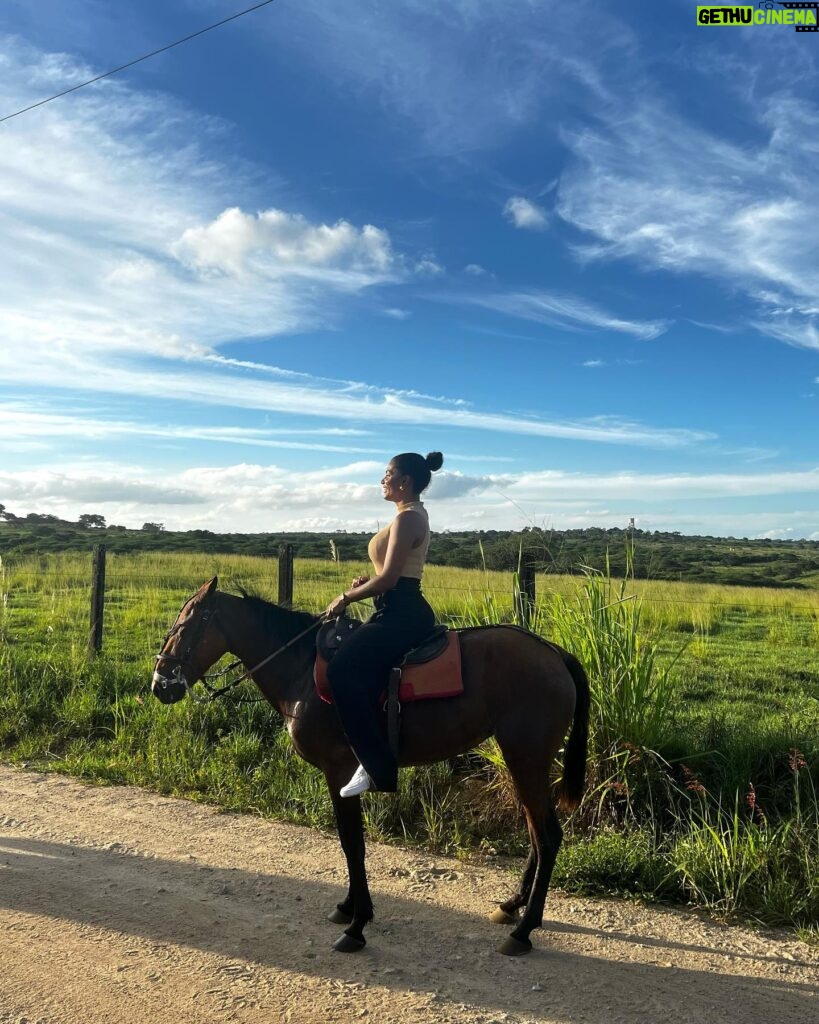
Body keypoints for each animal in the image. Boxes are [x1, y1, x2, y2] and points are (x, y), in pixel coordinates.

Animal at [151, 581, 589, 954]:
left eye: (184, 626)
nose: (159, 684)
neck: (302, 668)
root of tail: (554, 652)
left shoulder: (338, 770)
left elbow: (352, 843)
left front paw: (357, 924)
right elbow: (349, 843)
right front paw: (348, 907)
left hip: (525, 758)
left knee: (548, 836)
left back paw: (524, 929)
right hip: (525, 762)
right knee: (536, 832)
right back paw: (513, 906)